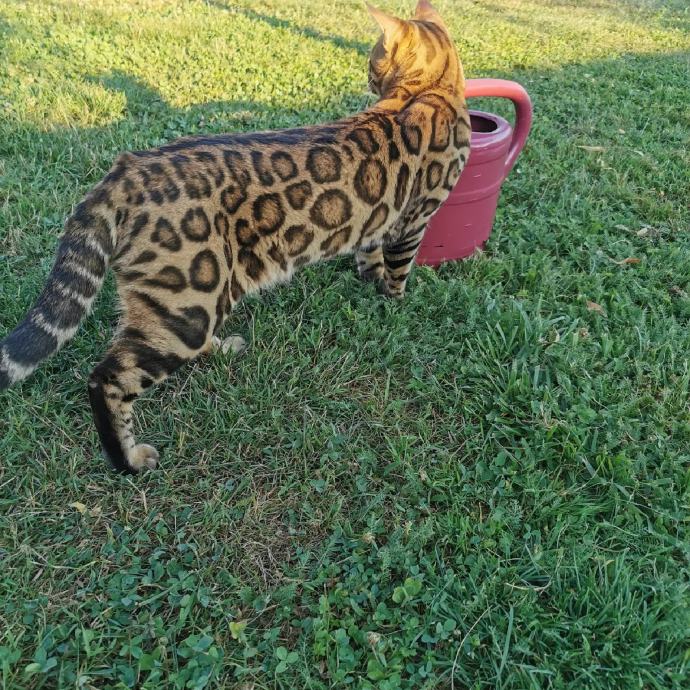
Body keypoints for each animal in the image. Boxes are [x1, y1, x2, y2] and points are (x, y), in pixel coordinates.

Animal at [0, 1, 470, 473]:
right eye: (374, 59)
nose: (369, 77)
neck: (428, 88)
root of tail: (126, 170)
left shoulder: (380, 220)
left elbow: (370, 254)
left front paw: (371, 284)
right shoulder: (415, 218)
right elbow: (398, 272)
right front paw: (396, 302)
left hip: (201, 293)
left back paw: (223, 348)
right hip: (186, 306)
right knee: (108, 378)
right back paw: (127, 459)